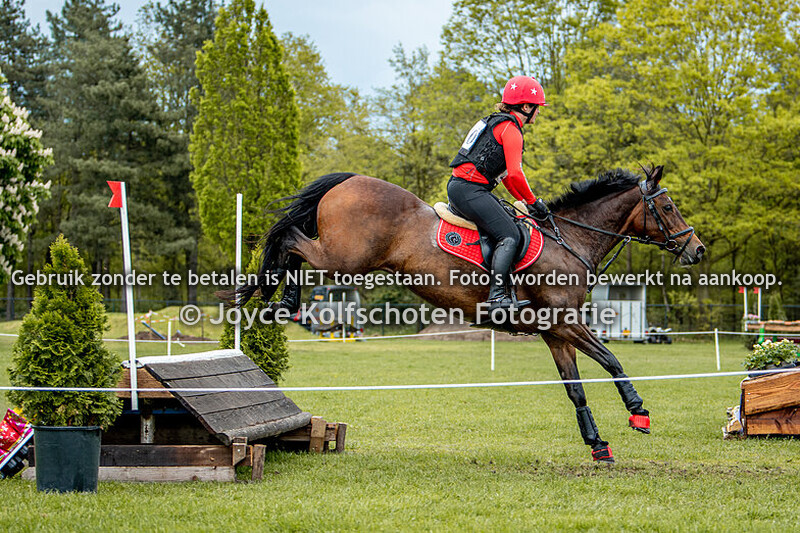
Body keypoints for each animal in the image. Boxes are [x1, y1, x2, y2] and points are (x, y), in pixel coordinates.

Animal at [231, 165, 705, 462]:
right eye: (667, 207)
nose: (696, 249)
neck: (569, 241)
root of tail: (347, 182)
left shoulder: (554, 332)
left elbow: (577, 391)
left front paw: (597, 445)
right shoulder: (565, 323)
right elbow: (611, 359)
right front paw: (638, 412)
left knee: (294, 244)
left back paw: (277, 302)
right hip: (346, 259)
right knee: (291, 240)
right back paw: (277, 298)